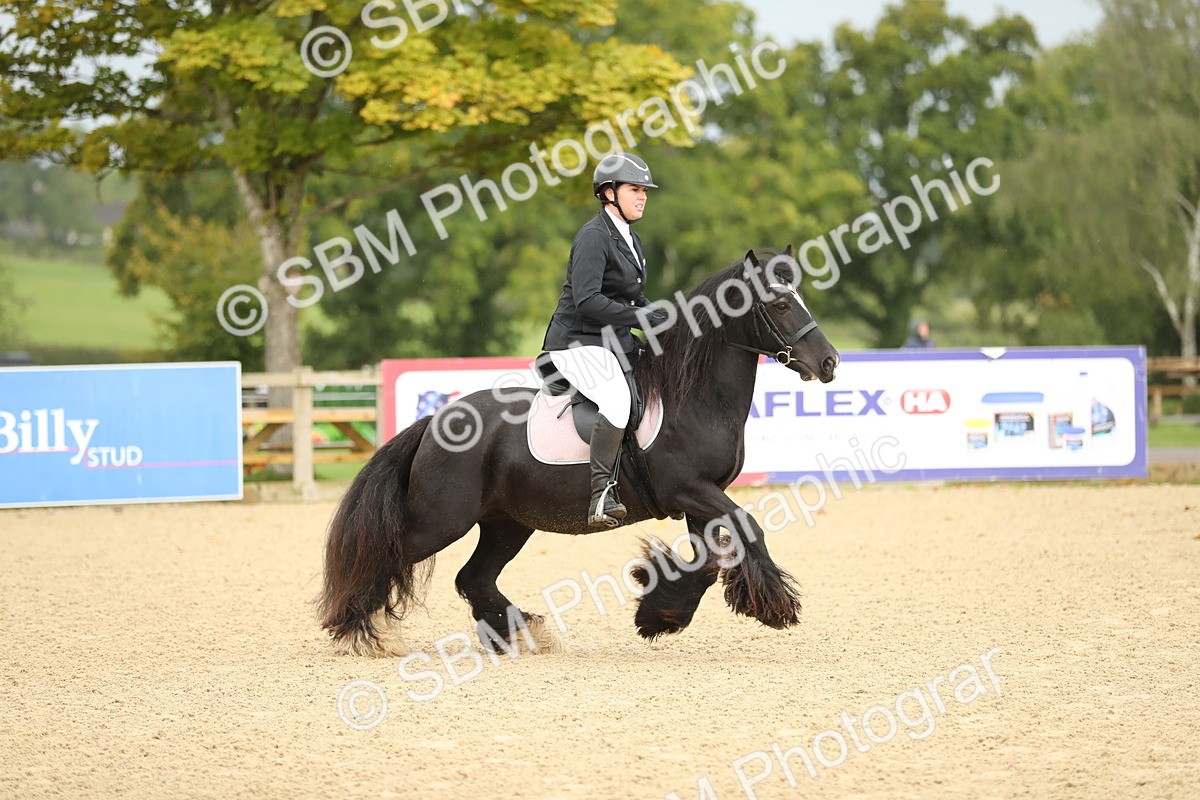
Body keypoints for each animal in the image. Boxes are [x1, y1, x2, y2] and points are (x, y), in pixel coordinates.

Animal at [318, 246, 840, 656]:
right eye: (779, 303)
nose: (829, 362)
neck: (694, 396)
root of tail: (435, 421)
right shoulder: (690, 489)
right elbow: (747, 527)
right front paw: (776, 606)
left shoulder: (701, 497)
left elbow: (708, 562)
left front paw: (660, 615)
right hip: (441, 520)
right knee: (386, 553)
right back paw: (358, 629)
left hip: (507, 522)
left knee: (473, 578)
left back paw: (521, 633)